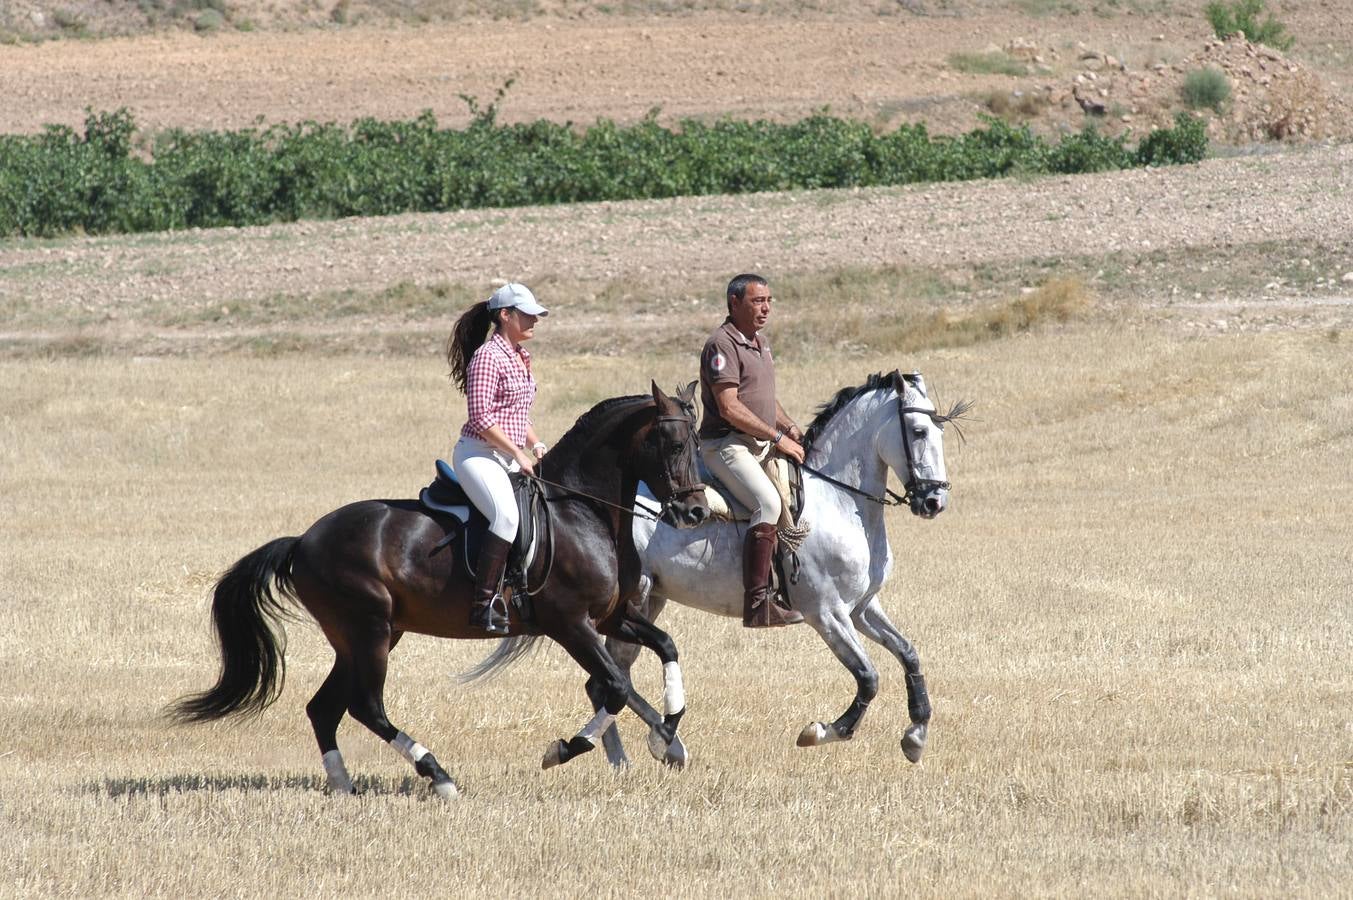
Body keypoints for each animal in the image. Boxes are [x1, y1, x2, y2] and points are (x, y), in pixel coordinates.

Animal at [171, 381, 708, 795]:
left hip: (367, 636)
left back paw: (343, 784)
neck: (582, 510)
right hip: (368, 631)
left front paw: (667, 734)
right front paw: (563, 749)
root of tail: (303, 540)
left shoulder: (612, 616)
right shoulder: (570, 623)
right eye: (674, 446)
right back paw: (438, 776)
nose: (697, 512)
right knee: (366, 706)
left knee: (324, 708)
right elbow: (614, 687)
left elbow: (667, 647)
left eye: (698, 446)